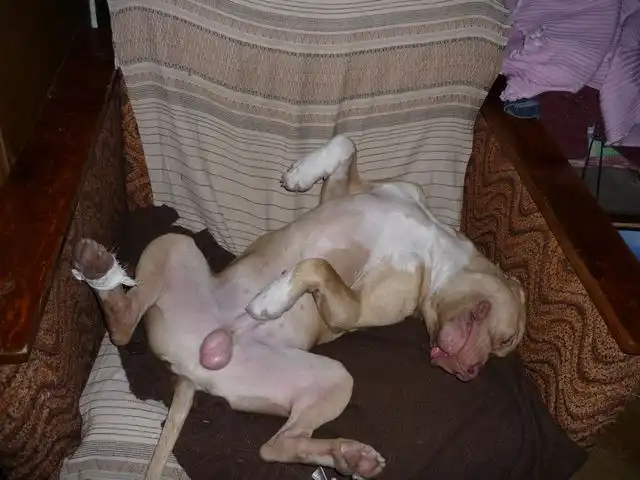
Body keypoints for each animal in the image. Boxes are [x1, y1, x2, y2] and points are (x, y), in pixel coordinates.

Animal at [71, 135, 526, 479]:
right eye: (506, 339)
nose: (471, 372)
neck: (437, 244)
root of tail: (190, 372)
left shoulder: (352, 310)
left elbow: (317, 265)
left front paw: (271, 298)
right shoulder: (345, 191)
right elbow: (346, 142)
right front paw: (301, 172)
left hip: (331, 378)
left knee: (274, 446)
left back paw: (348, 456)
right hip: (174, 245)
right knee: (124, 325)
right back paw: (98, 268)